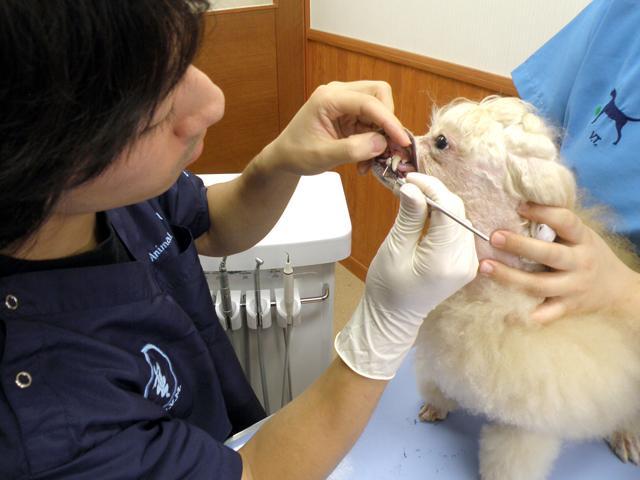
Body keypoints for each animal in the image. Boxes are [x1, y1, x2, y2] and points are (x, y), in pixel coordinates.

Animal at [410, 96, 640, 480]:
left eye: (441, 141)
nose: (408, 140)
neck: (486, 299)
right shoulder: (439, 357)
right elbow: (437, 383)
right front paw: (436, 406)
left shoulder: (528, 424)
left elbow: (511, 459)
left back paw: (625, 434)